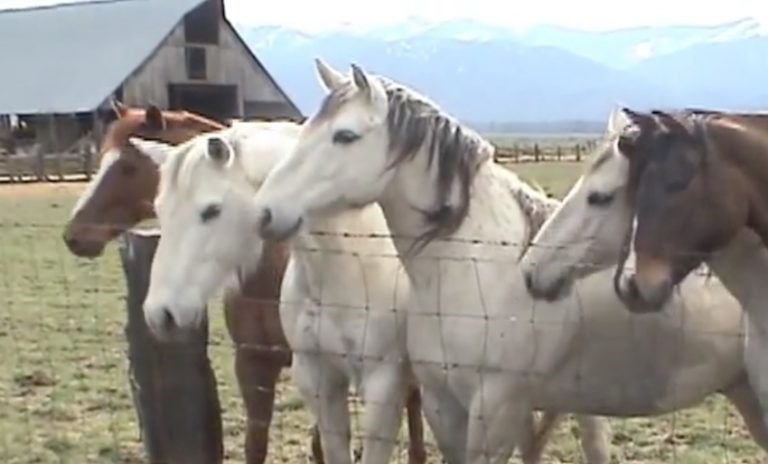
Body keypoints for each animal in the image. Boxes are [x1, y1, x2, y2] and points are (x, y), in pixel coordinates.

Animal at [129, 122, 609, 464]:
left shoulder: (383, 383)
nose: (160, 314)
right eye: (159, 210)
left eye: (211, 210)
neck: (347, 265)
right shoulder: (317, 378)